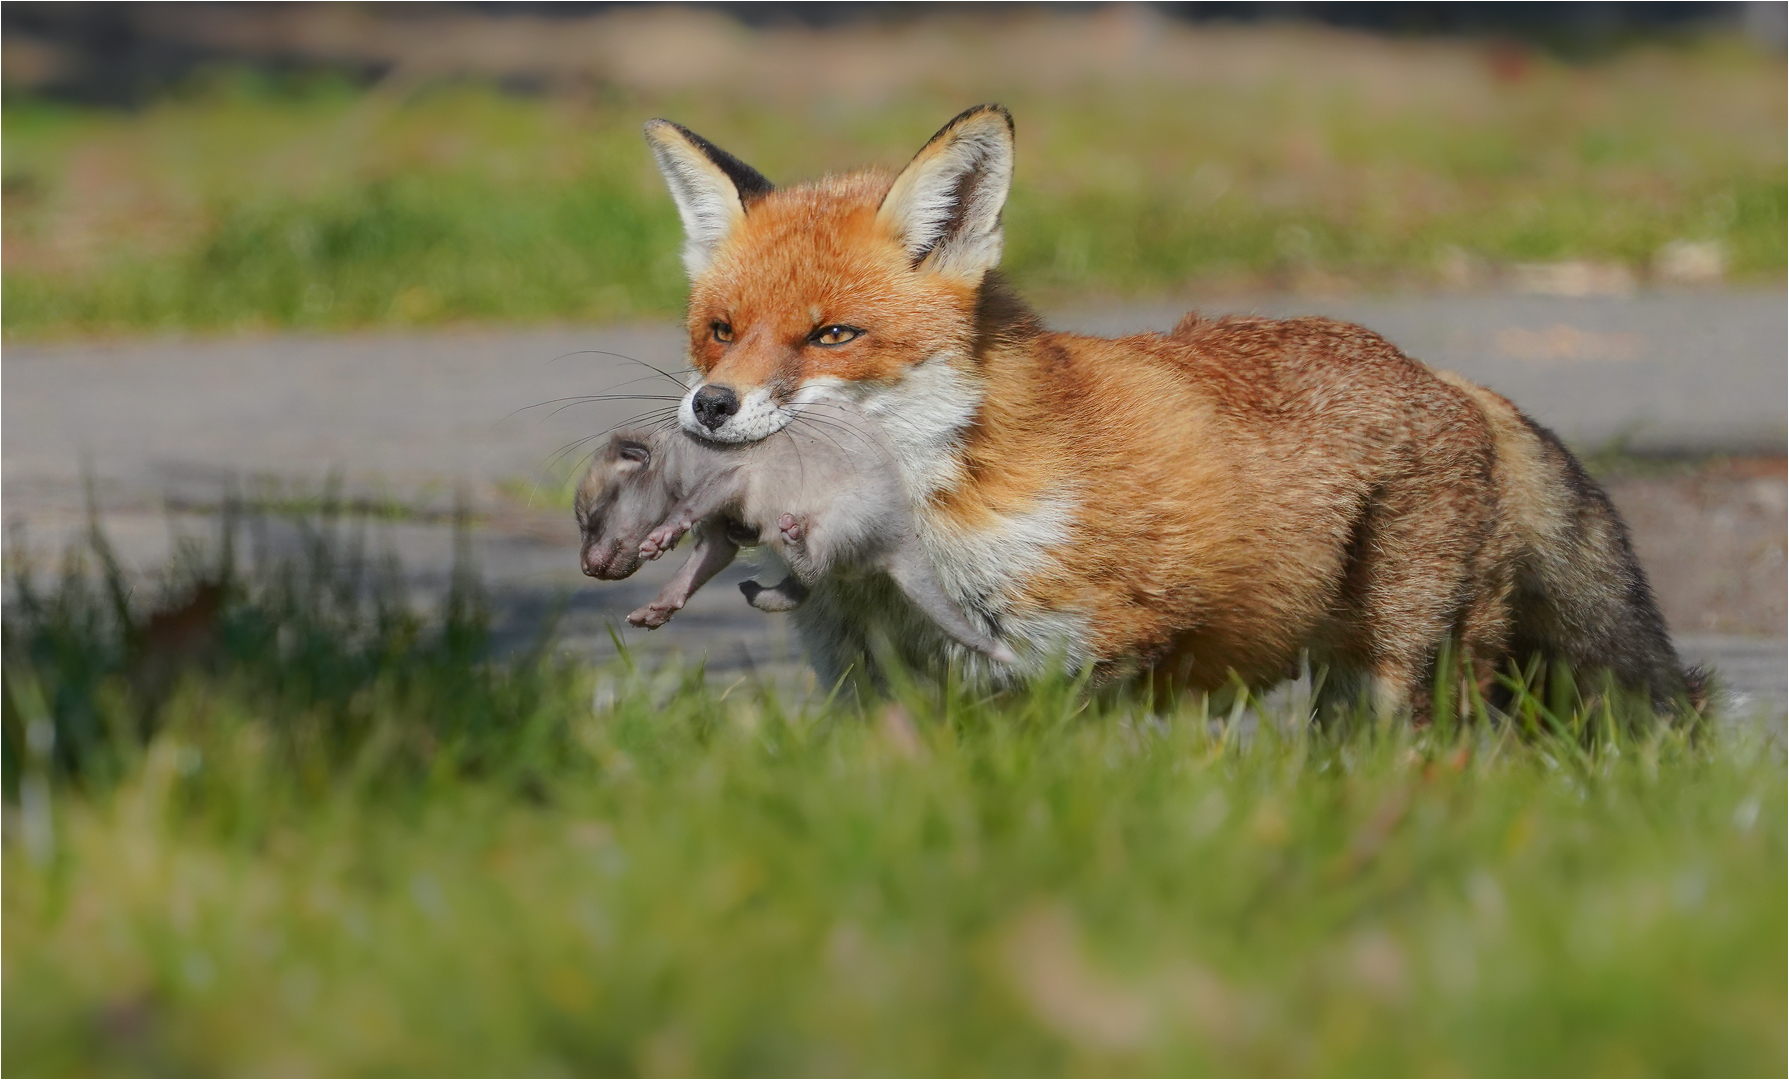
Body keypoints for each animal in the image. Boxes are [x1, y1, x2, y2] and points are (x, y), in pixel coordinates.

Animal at [636, 105, 1695, 722]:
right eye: (720, 330)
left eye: (832, 336)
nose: (712, 405)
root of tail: (1443, 377)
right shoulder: (873, 694)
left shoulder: (1083, 659)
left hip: (1400, 680)